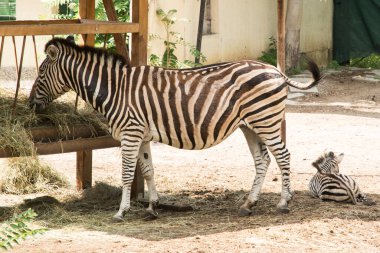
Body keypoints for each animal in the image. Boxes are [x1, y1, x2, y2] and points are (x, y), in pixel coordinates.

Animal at [29, 36, 320, 220]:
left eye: (41, 73)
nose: (31, 104)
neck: (116, 90)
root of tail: (277, 71)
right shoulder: (143, 135)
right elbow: (148, 170)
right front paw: (151, 208)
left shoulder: (130, 133)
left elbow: (126, 174)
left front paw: (121, 212)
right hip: (250, 125)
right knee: (263, 160)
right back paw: (248, 204)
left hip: (266, 120)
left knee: (283, 156)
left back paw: (284, 203)